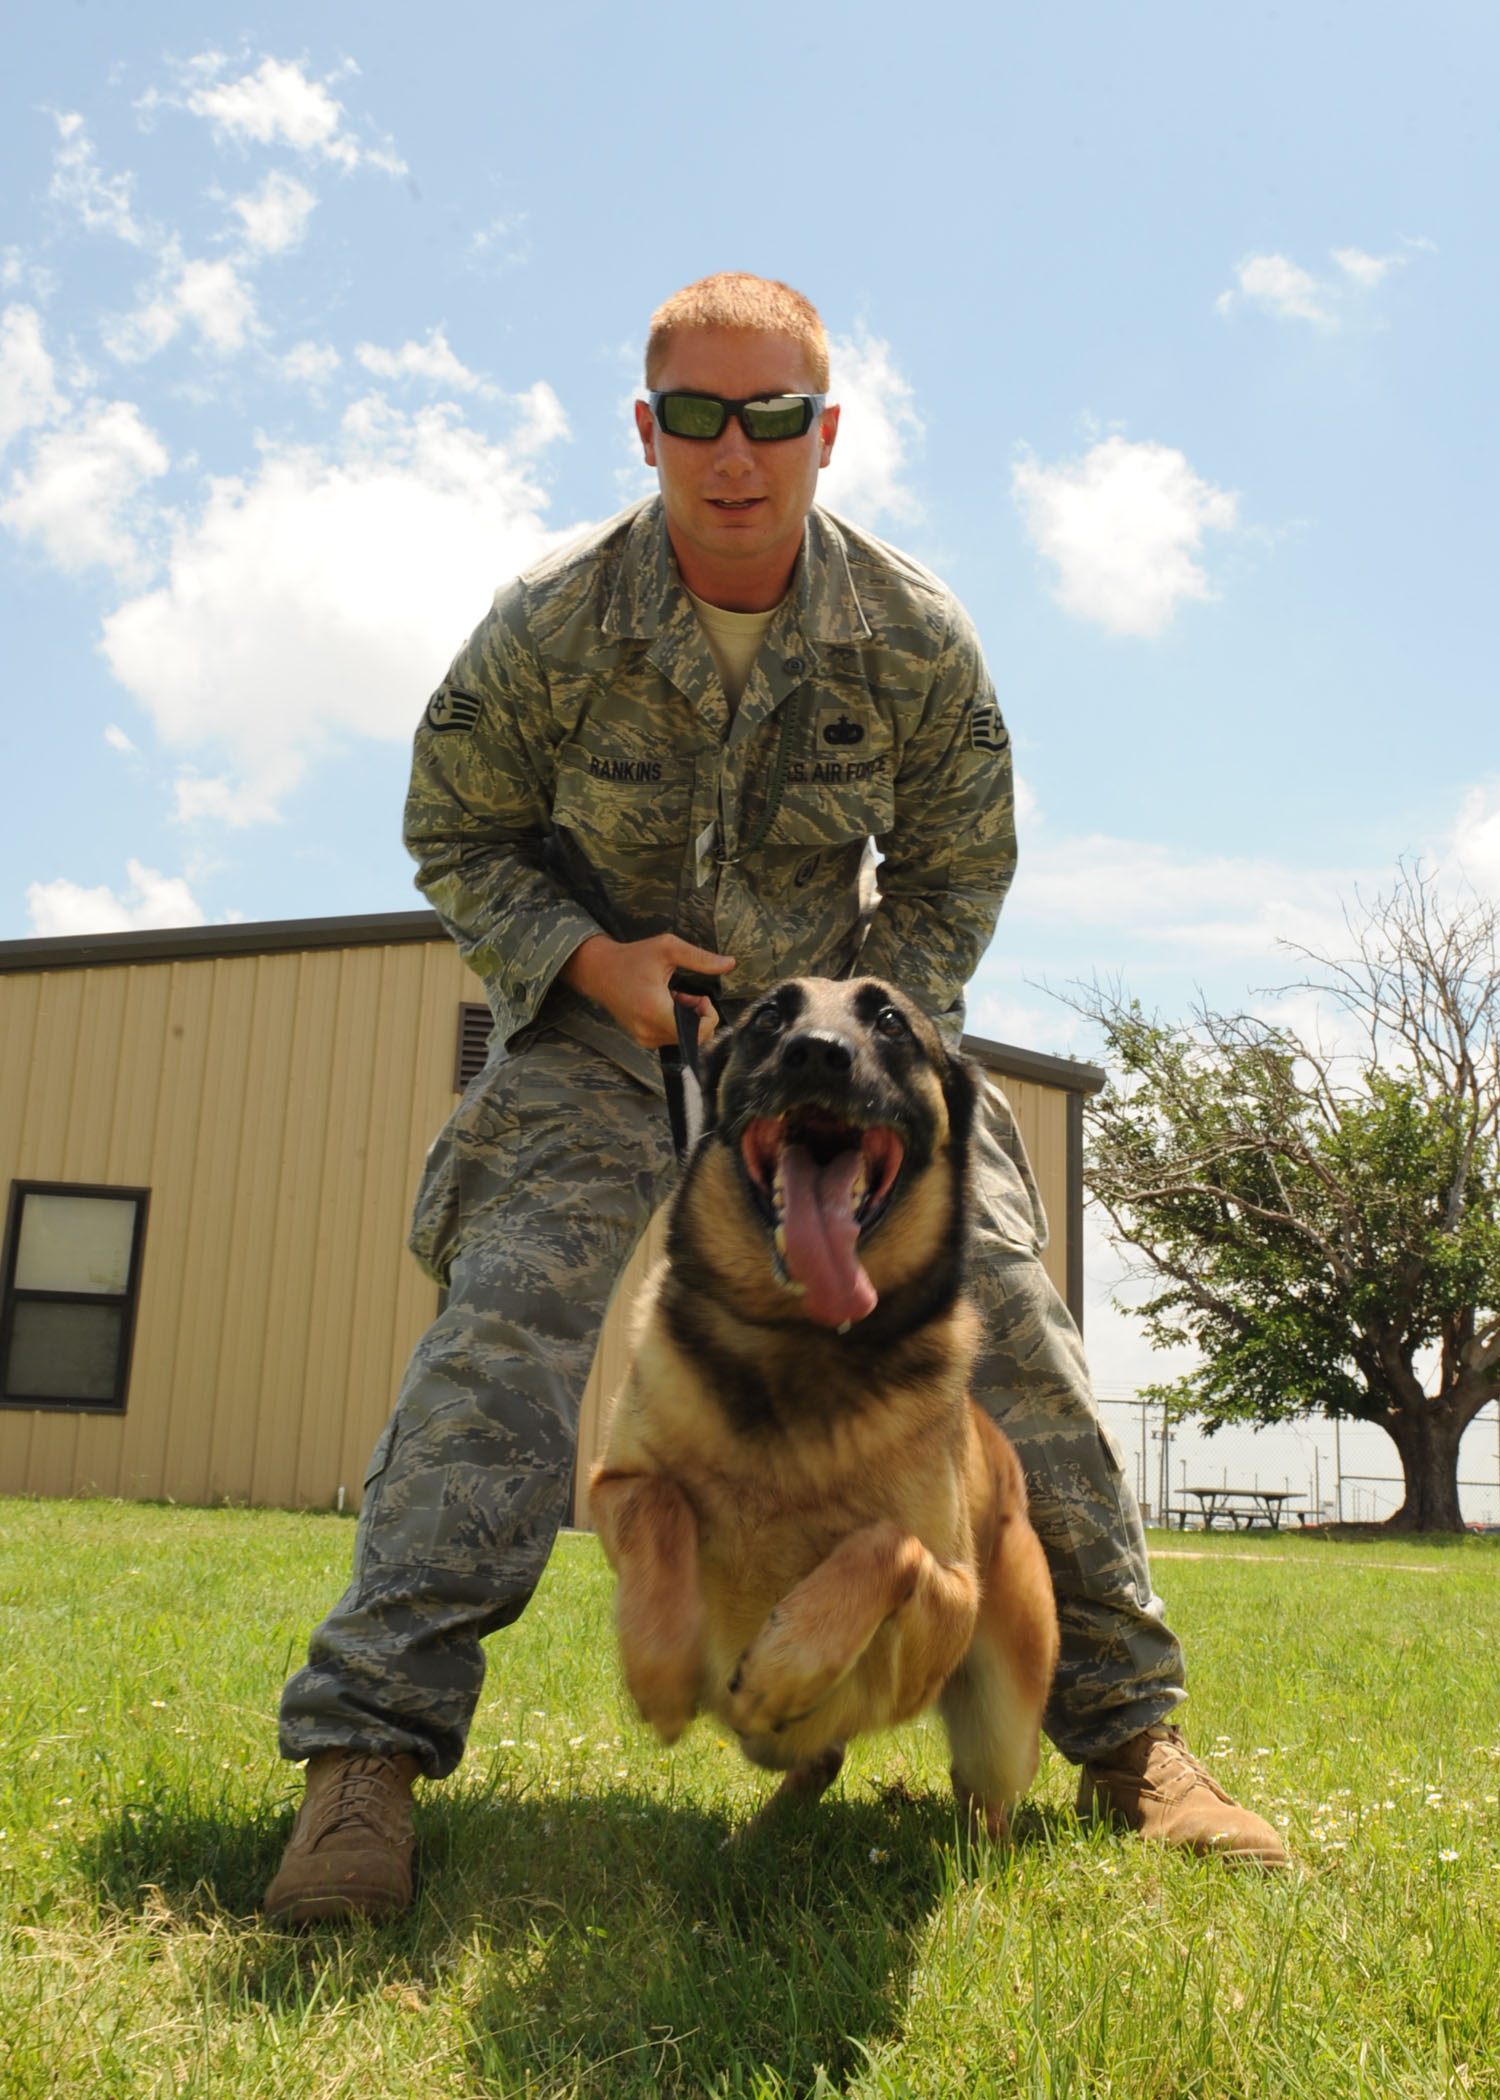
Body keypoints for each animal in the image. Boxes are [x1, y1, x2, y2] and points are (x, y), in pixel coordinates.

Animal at [588, 974, 1058, 1831]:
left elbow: (885, 1545)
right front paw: (662, 1673)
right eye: (772, 1017)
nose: (816, 1054)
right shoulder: (613, 1485)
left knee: (986, 1802)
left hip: (1002, 1731)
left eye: (890, 1022)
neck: (799, 1343)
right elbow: (663, 1504)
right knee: (820, 1758)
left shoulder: (950, 1600)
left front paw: (781, 1668)